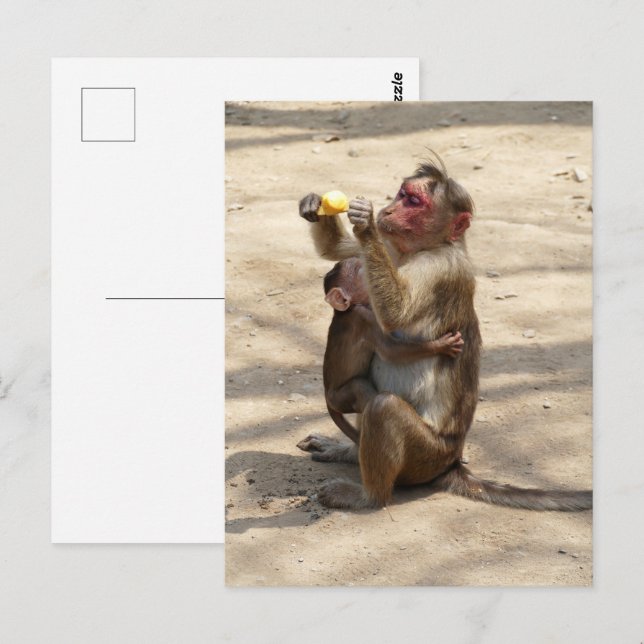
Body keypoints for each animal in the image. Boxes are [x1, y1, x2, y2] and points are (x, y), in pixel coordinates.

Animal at [314, 256, 464, 448]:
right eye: (360, 271)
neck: (348, 309)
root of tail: (326, 395)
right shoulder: (365, 319)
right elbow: (391, 351)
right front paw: (442, 345)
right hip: (338, 398)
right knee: (359, 387)